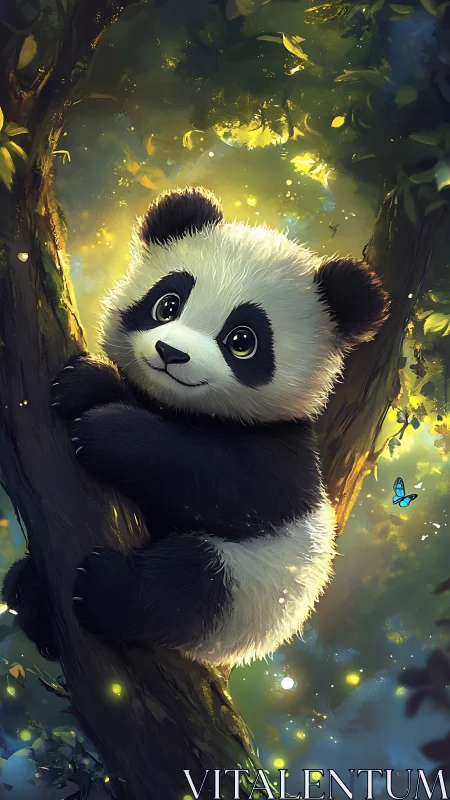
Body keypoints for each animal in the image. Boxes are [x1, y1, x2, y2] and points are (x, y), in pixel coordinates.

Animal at [3, 187, 388, 667]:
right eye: (167, 304)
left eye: (242, 341)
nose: (170, 353)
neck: (187, 408)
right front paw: (82, 383)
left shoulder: (287, 453)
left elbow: (224, 480)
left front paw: (101, 426)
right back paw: (30, 594)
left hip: (252, 591)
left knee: (190, 583)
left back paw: (103, 586)